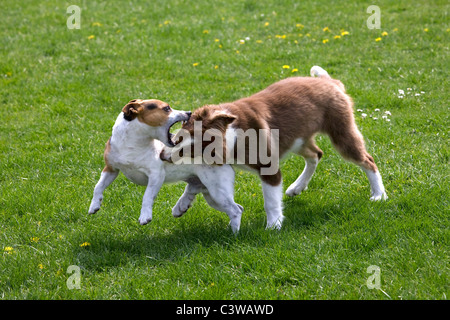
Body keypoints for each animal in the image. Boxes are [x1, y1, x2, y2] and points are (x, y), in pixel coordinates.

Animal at [171, 65, 386, 230]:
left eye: (194, 149)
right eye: (179, 137)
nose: (170, 155)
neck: (233, 132)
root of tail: (331, 81)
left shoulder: (268, 167)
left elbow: (271, 200)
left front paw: (273, 226)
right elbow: (195, 185)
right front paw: (181, 205)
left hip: (341, 132)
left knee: (367, 160)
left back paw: (378, 194)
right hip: (297, 139)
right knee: (316, 154)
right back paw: (297, 187)